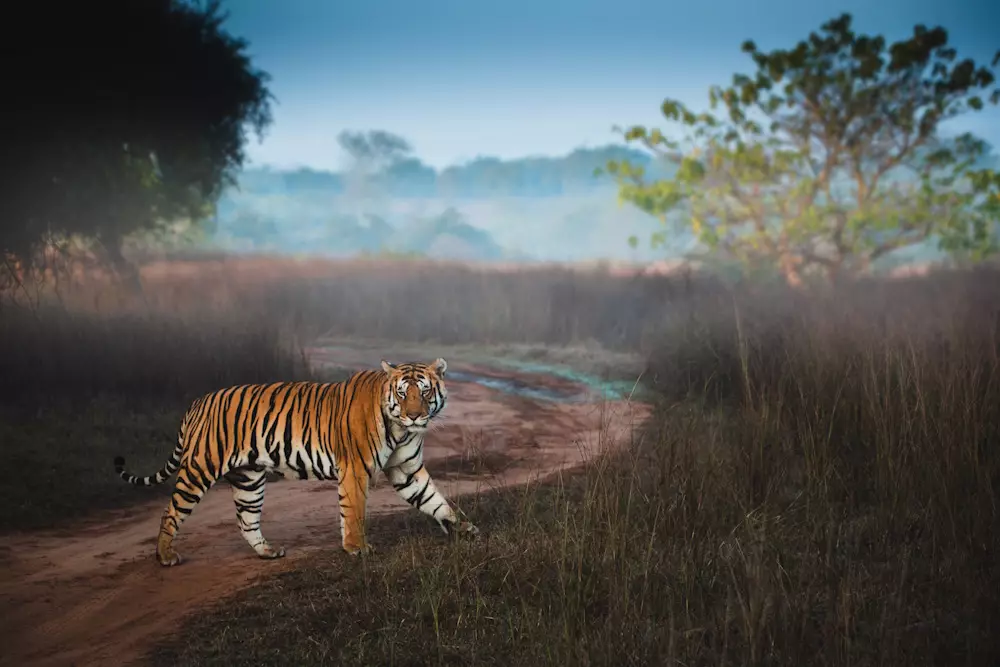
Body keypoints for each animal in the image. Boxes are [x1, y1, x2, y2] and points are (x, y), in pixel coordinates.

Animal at [113, 358, 478, 566]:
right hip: (200, 468)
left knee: (246, 519)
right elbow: (354, 511)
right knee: (170, 512)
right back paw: (165, 556)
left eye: (425, 392)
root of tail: (198, 402)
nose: (415, 415)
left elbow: (435, 500)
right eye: (402, 393)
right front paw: (356, 548)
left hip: (249, 478)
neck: (400, 430)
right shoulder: (355, 469)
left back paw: (267, 552)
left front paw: (464, 528)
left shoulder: (406, 470)